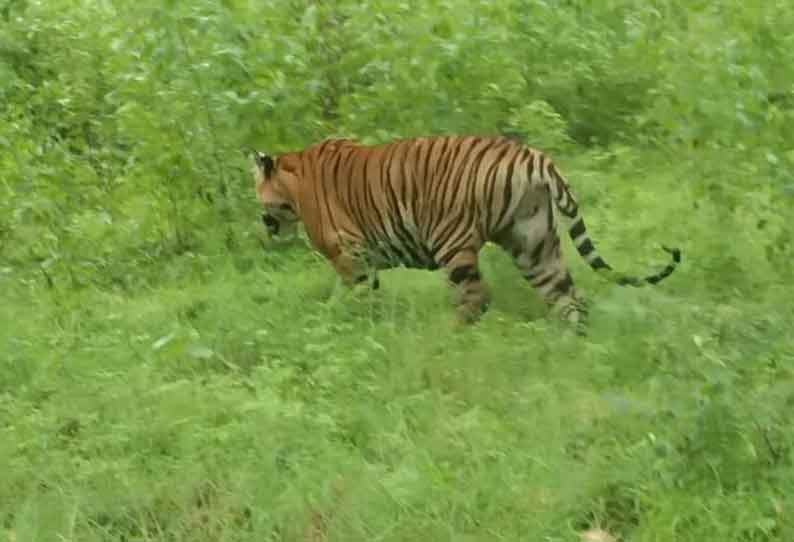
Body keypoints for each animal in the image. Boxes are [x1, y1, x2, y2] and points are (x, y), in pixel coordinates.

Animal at [253, 135, 680, 329]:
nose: (264, 225)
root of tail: (535, 158)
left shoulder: (349, 256)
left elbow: (346, 297)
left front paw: (339, 322)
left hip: (452, 240)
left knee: (477, 297)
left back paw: (448, 333)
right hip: (533, 242)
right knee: (567, 297)